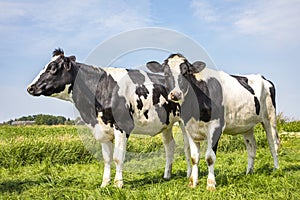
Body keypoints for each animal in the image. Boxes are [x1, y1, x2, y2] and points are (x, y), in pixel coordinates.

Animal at [27, 49, 191, 188]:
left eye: (53, 68)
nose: (30, 87)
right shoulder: (102, 129)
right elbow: (107, 158)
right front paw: (104, 184)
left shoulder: (122, 126)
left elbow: (118, 157)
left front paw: (118, 184)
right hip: (166, 124)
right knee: (170, 146)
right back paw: (167, 175)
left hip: (185, 122)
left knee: (187, 145)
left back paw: (189, 175)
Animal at [146, 53, 280, 191]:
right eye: (166, 73)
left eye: (186, 72)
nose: (175, 94)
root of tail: (262, 77)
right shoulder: (190, 128)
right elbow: (194, 158)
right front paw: (193, 182)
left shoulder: (216, 126)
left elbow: (210, 157)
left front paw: (210, 184)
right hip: (247, 125)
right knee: (252, 147)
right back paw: (249, 172)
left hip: (270, 117)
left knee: (273, 143)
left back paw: (276, 169)